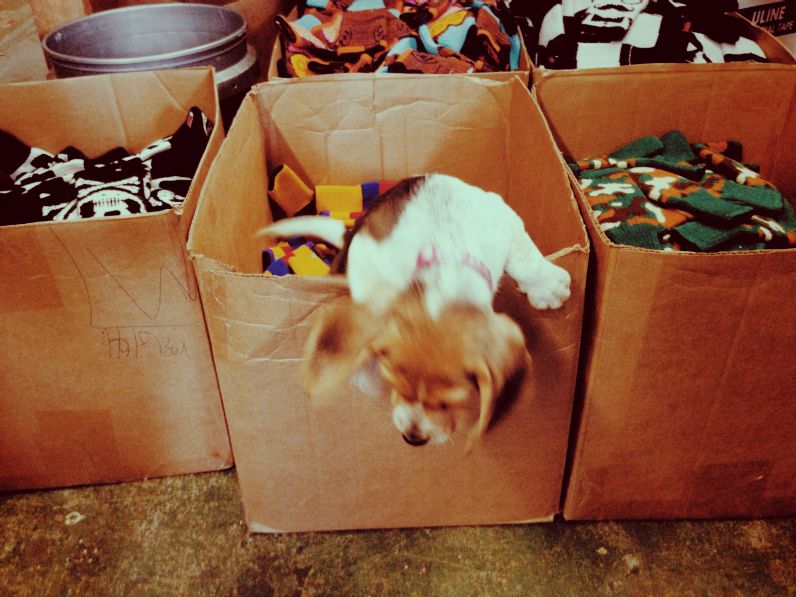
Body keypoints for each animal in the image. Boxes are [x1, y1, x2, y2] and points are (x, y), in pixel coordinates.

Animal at [262, 172, 572, 448]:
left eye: (448, 403)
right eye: (394, 386)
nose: (412, 439)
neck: (441, 274)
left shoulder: (503, 218)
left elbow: (526, 259)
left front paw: (548, 287)